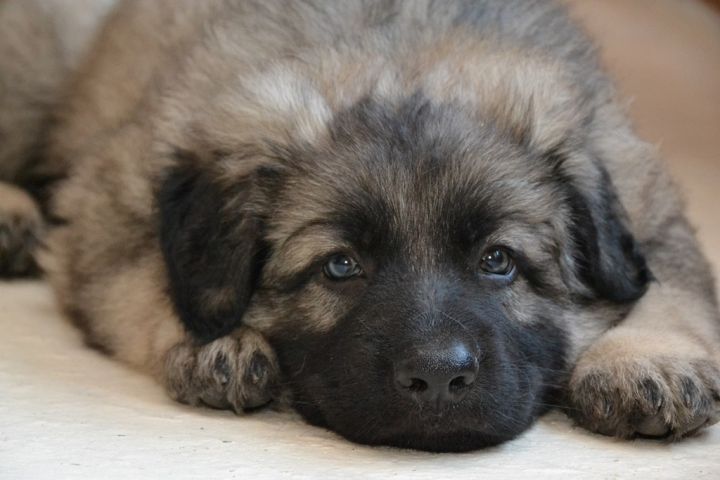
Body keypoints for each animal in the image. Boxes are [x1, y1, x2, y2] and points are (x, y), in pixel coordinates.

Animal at [1, 0, 719, 452]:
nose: (437, 379)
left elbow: (673, 289)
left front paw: (644, 360)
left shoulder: (648, 208)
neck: (399, 50)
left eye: (499, 260)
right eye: (340, 265)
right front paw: (217, 342)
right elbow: (144, 282)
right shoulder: (109, 210)